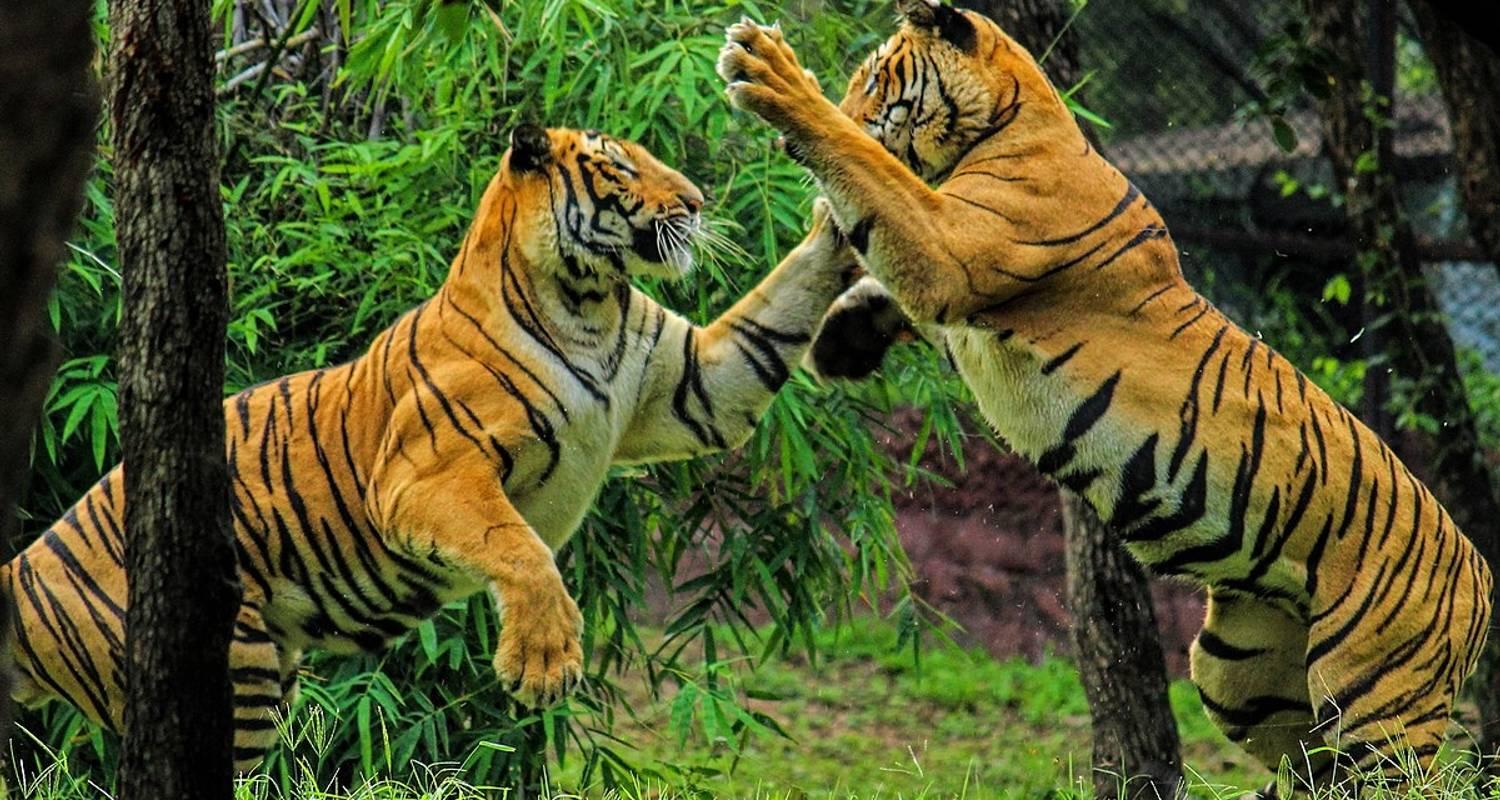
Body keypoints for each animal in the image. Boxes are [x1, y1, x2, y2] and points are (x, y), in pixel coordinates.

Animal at [1, 125, 857, 772]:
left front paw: (840, 217)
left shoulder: (695, 385)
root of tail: (23, 566)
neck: (589, 303)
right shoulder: (429, 473)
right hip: (226, 680)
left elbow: (777, 309)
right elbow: (518, 548)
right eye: (620, 165)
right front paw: (541, 665)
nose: (698, 202)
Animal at [716, 1, 1493, 791]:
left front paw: (772, 76)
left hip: (1374, 701)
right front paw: (841, 340)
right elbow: (884, 273)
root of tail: (1481, 575)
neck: (1011, 123)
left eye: (874, 81)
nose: (836, 106)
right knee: (1308, 768)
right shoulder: (951, 276)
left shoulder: (951, 246)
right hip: (1238, 673)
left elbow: (870, 173)